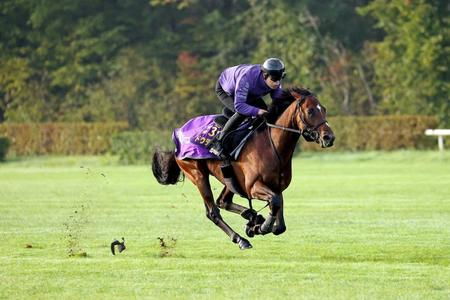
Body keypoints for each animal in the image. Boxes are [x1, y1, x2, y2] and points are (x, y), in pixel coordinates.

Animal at [151, 87, 334, 251]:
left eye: (324, 109)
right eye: (310, 111)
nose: (329, 137)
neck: (272, 145)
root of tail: (178, 135)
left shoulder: (276, 186)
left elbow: (279, 217)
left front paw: (257, 225)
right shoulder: (253, 187)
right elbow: (274, 203)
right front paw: (260, 227)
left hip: (229, 178)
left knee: (223, 201)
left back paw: (252, 216)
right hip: (198, 174)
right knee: (213, 212)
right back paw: (241, 239)